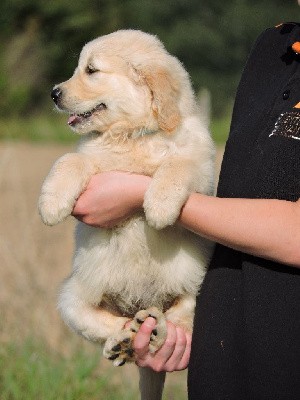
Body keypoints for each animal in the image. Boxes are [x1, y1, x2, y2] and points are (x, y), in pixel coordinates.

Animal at [38, 29, 214, 398]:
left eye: (91, 70)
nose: (54, 93)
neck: (131, 136)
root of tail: (141, 305)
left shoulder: (201, 169)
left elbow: (178, 165)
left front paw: (159, 206)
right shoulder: (91, 158)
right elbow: (70, 159)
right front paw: (51, 204)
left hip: (196, 282)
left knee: (181, 314)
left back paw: (157, 330)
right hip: (74, 294)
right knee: (105, 323)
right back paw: (125, 340)